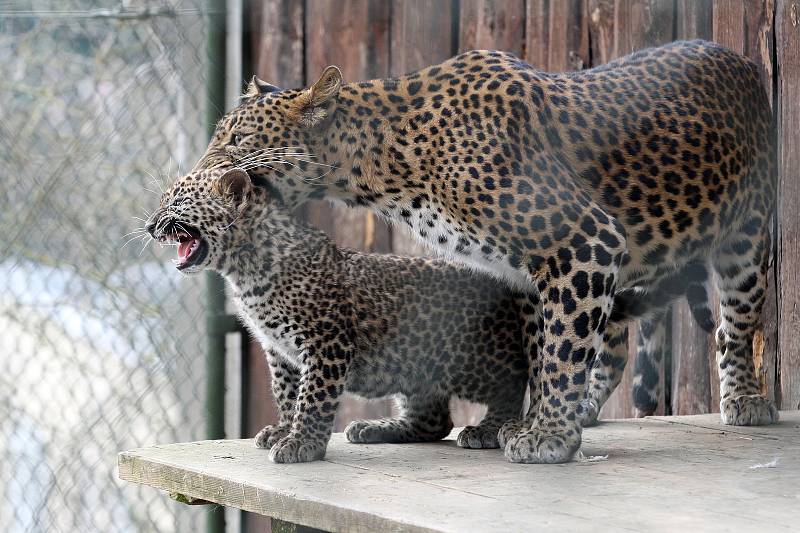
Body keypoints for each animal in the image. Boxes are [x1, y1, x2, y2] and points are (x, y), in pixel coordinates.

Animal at [186, 39, 776, 462]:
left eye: (236, 140)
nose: (202, 171)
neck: (386, 167)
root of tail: (742, 59)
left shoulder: (584, 240)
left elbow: (561, 350)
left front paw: (547, 436)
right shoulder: (522, 273)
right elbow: (543, 348)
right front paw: (532, 424)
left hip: (747, 236)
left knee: (737, 324)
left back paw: (746, 401)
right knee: (611, 343)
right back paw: (587, 407)